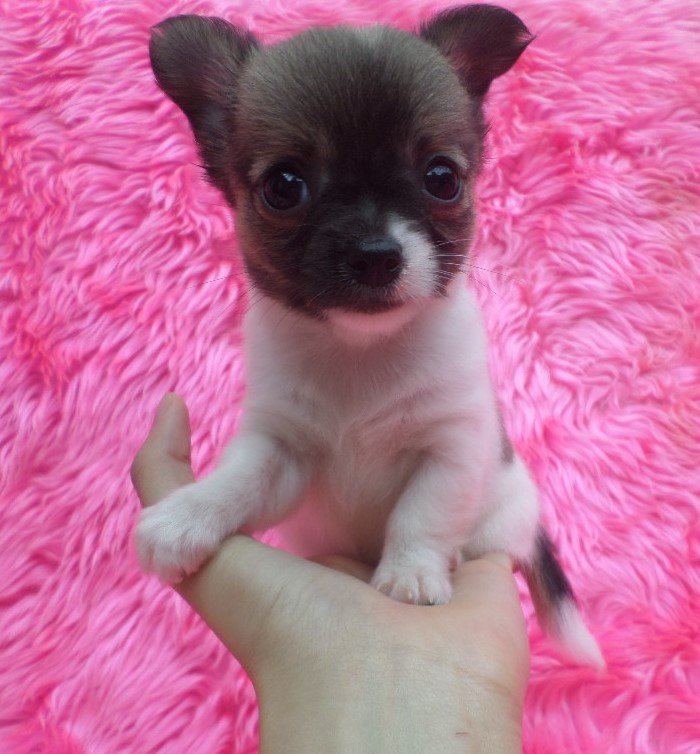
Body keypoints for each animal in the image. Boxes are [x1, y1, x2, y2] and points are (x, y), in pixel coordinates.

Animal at [136, 4, 604, 667]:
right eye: (284, 186)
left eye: (442, 178)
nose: (376, 254)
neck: (361, 349)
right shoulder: (282, 450)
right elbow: (240, 481)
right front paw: (185, 517)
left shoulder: (451, 451)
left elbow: (421, 515)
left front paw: (411, 576)